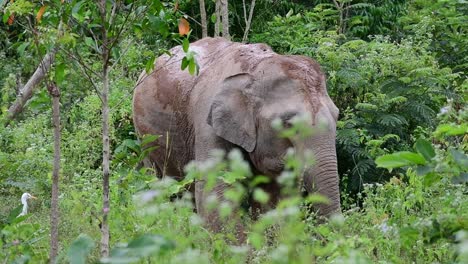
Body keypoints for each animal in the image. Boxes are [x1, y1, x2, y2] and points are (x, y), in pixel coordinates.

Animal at [132, 37, 340, 235]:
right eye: (287, 124)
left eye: (337, 116)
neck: (255, 69)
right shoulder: (207, 122)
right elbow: (215, 192)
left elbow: (275, 196)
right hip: (145, 137)